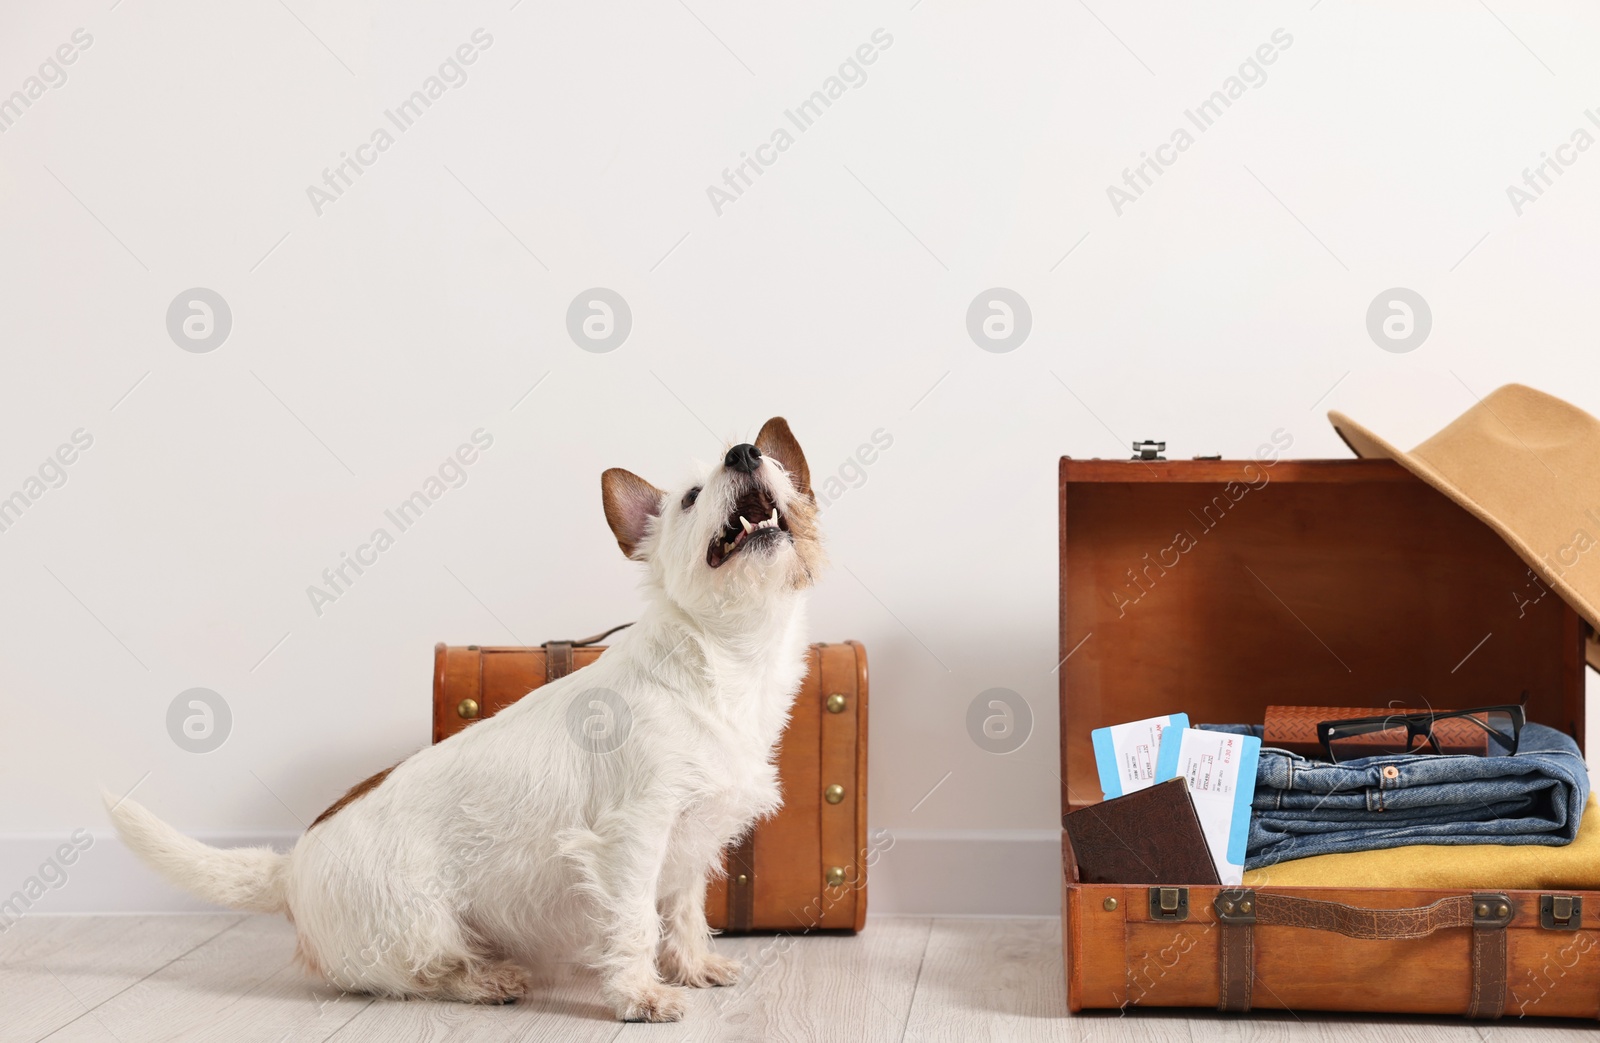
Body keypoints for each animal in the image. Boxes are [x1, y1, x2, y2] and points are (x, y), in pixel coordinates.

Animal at [106, 415, 825, 1017]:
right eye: (689, 497)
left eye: (775, 467)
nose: (745, 451)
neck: (724, 661)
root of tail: (290, 867)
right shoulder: (633, 839)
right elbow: (633, 923)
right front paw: (640, 994)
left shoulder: (688, 845)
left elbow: (682, 914)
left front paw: (695, 966)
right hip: (417, 925)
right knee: (419, 973)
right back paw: (487, 979)